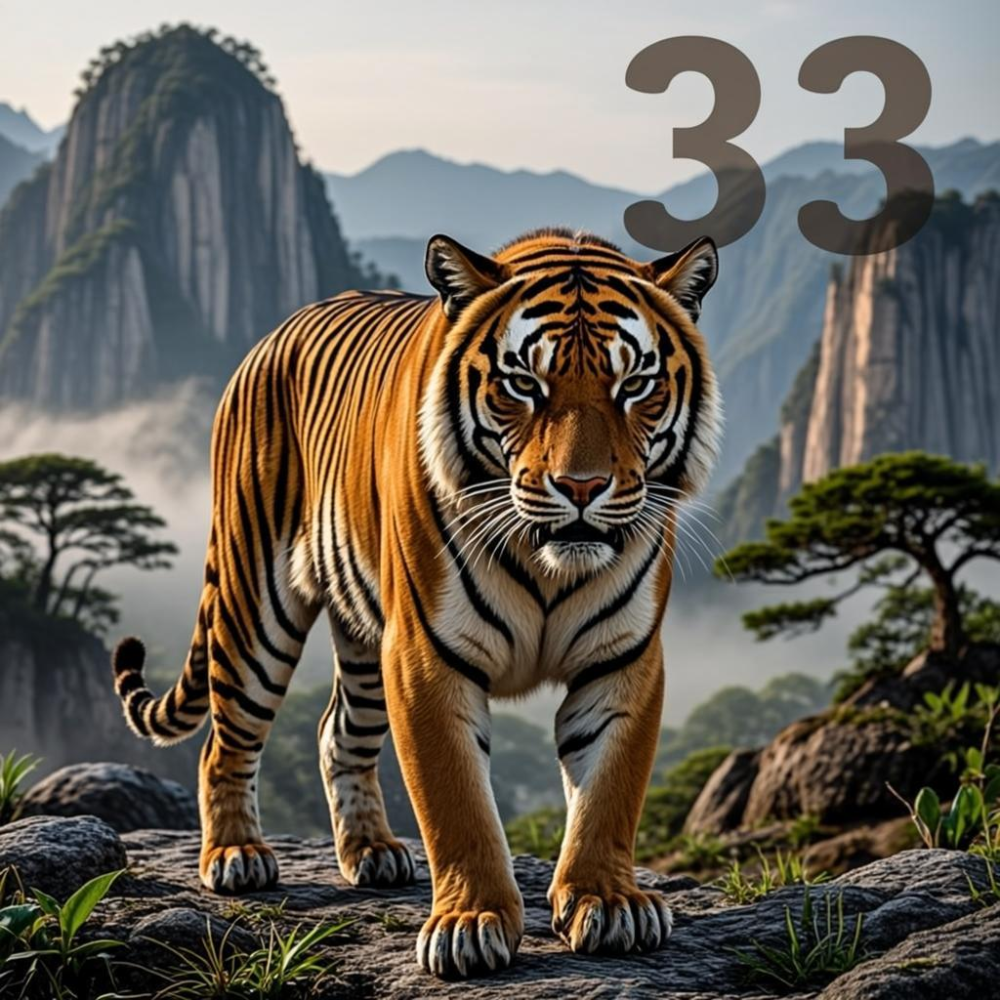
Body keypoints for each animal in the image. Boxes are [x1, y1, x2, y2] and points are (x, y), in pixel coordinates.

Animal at [112, 227, 721, 978]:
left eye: (634, 385)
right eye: (524, 384)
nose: (581, 487)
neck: (546, 562)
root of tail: (273, 335)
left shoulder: (623, 659)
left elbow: (610, 790)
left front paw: (607, 902)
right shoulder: (427, 657)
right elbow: (455, 801)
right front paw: (471, 922)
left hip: (366, 644)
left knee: (336, 732)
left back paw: (372, 852)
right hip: (256, 605)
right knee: (226, 740)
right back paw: (236, 855)